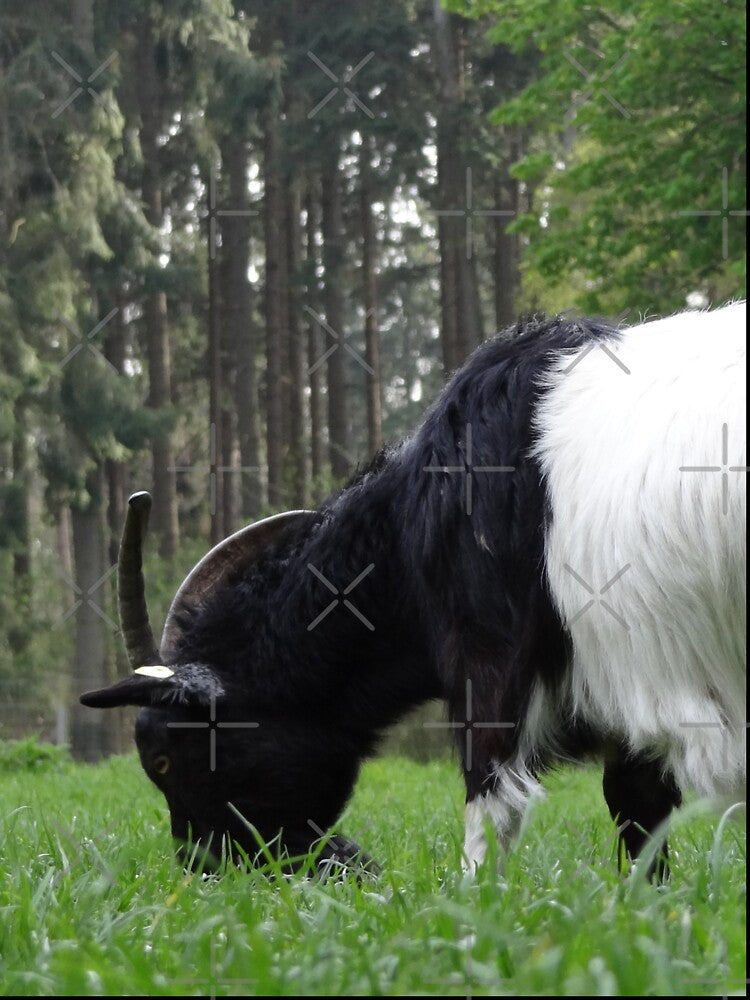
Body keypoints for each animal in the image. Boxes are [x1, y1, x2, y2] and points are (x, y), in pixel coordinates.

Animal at [81, 302, 746, 877]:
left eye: (164, 759)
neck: (418, 518)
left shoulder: (490, 656)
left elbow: (492, 811)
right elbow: (639, 812)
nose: (204, 870)